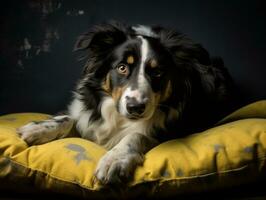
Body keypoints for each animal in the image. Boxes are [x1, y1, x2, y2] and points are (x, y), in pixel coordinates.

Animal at [16, 21, 234, 185]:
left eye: (157, 72)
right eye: (122, 67)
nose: (135, 108)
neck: (120, 118)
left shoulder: (172, 129)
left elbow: (136, 134)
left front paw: (115, 159)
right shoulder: (89, 115)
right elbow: (70, 118)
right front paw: (39, 128)